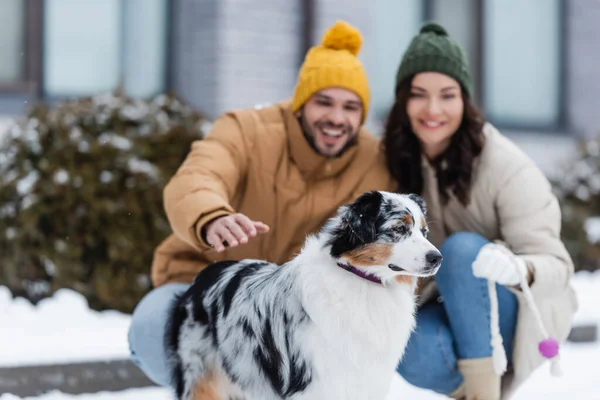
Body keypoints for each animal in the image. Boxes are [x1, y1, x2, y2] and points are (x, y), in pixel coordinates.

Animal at [164, 191, 440, 400]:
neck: (362, 279)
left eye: (424, 231)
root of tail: (206, 273)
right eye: (399, 228)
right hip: (201, 377)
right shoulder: (314, 383)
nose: (437, 258)